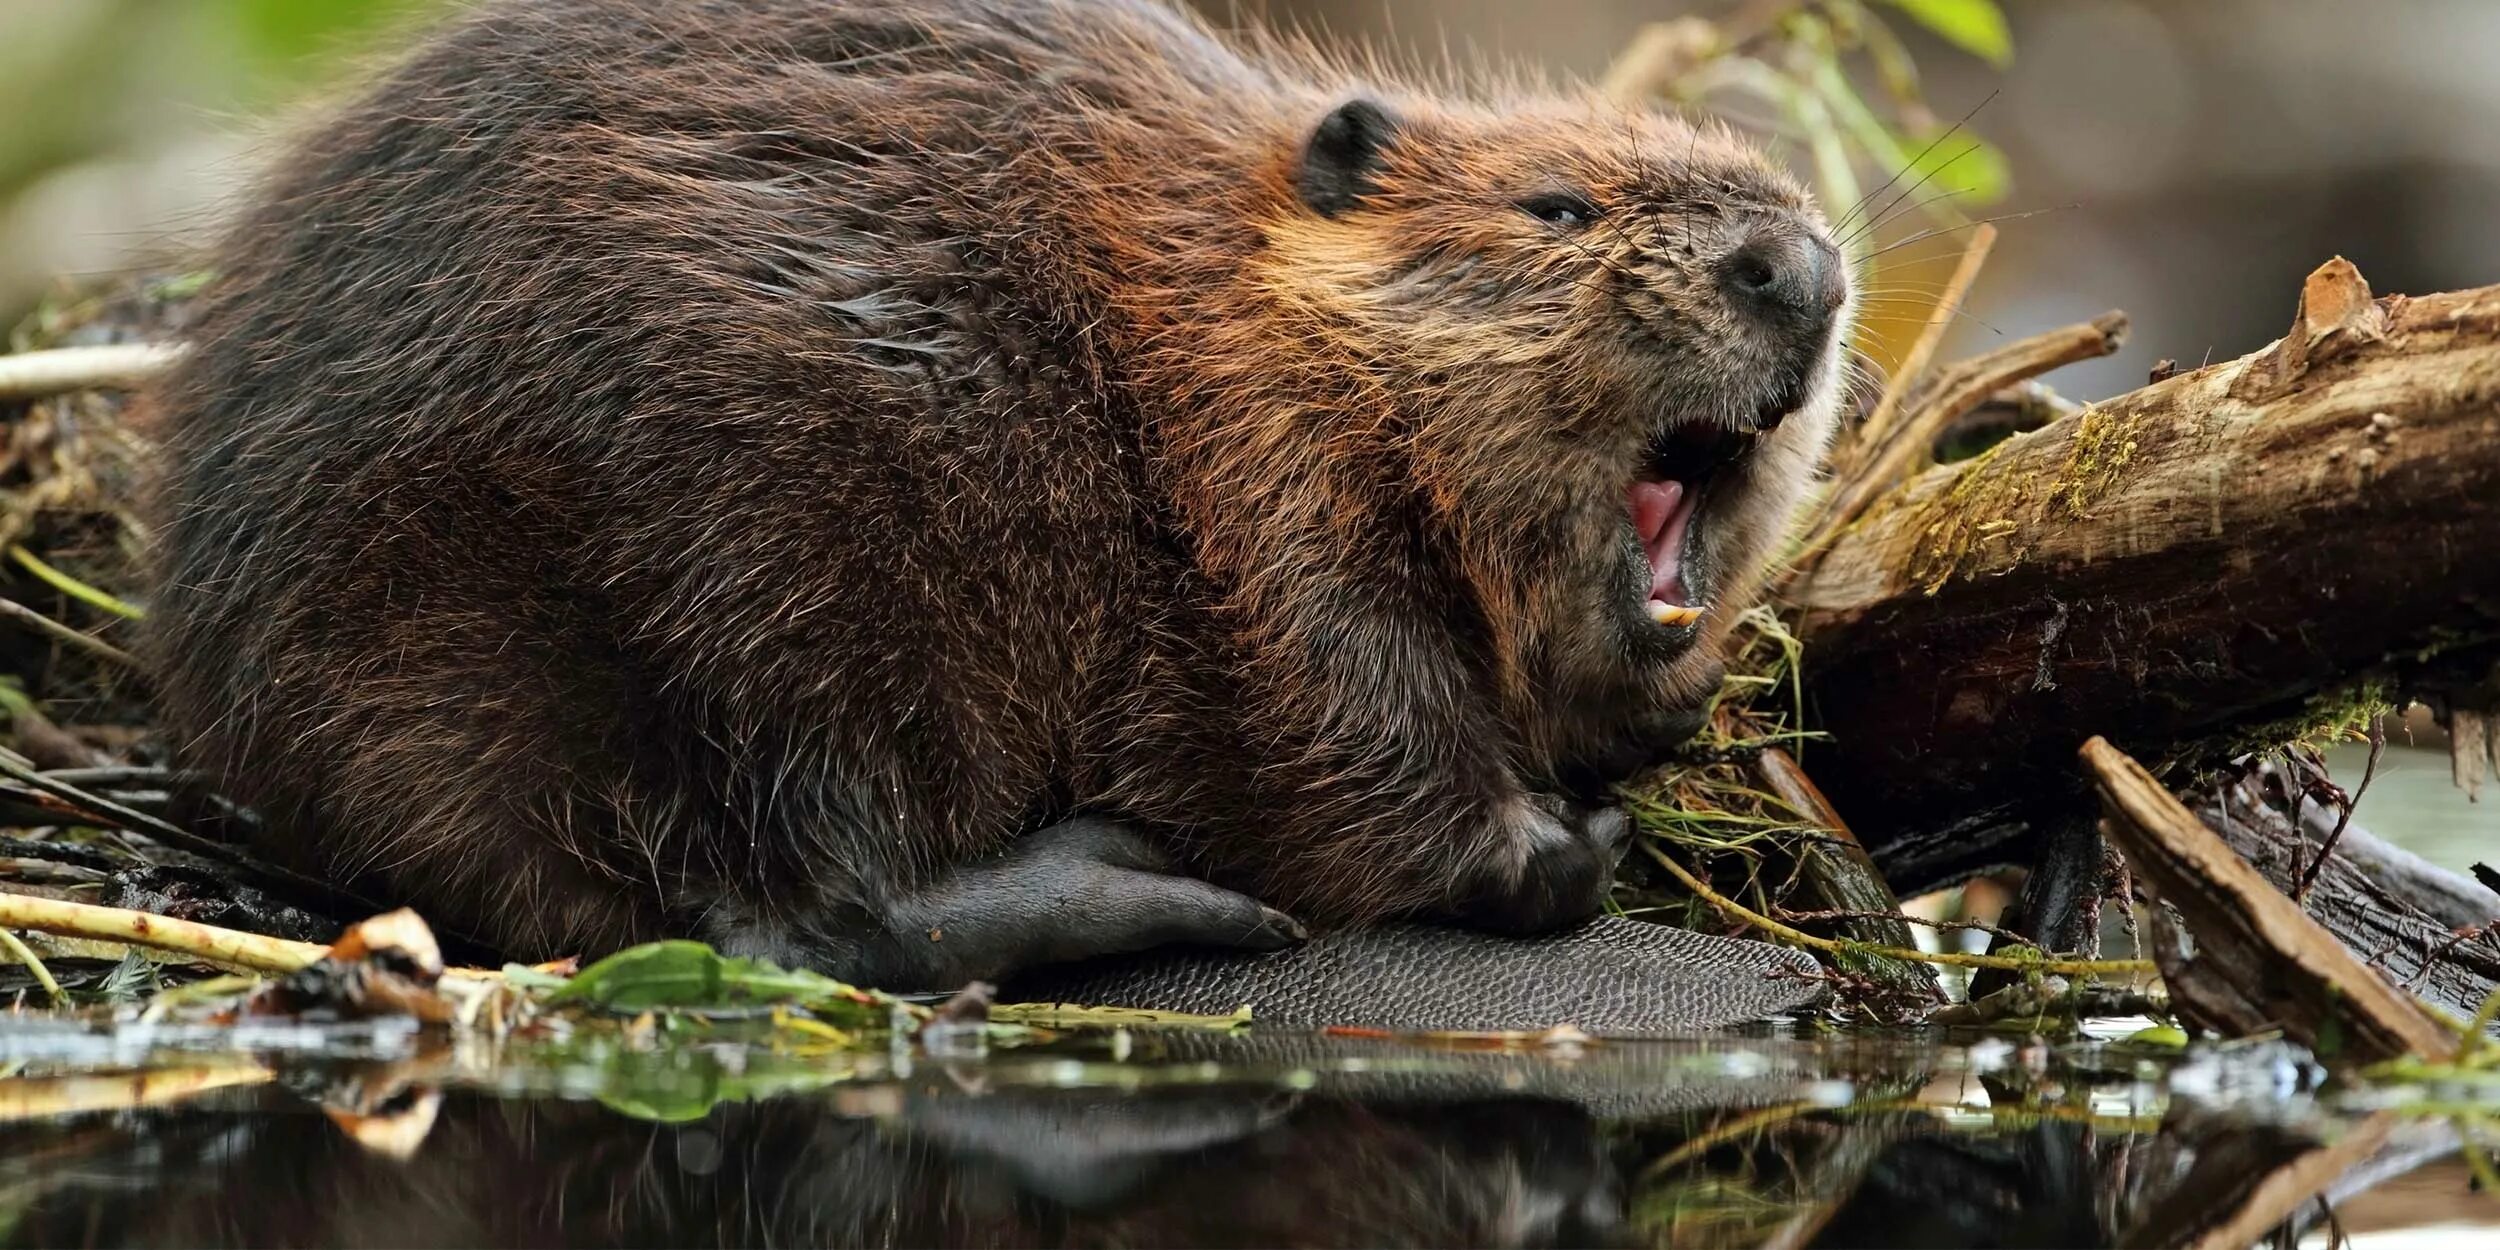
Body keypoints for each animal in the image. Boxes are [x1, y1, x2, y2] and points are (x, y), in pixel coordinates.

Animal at [146, 0, 1850, 990]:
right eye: (1555, 206)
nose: (1803, 266)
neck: (1216, 288)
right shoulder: (1261, 481)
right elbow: (1342, 722)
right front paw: (1558, 845)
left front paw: (1650, 725)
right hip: (747, 558)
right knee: (795, 906)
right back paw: (1152, 888)